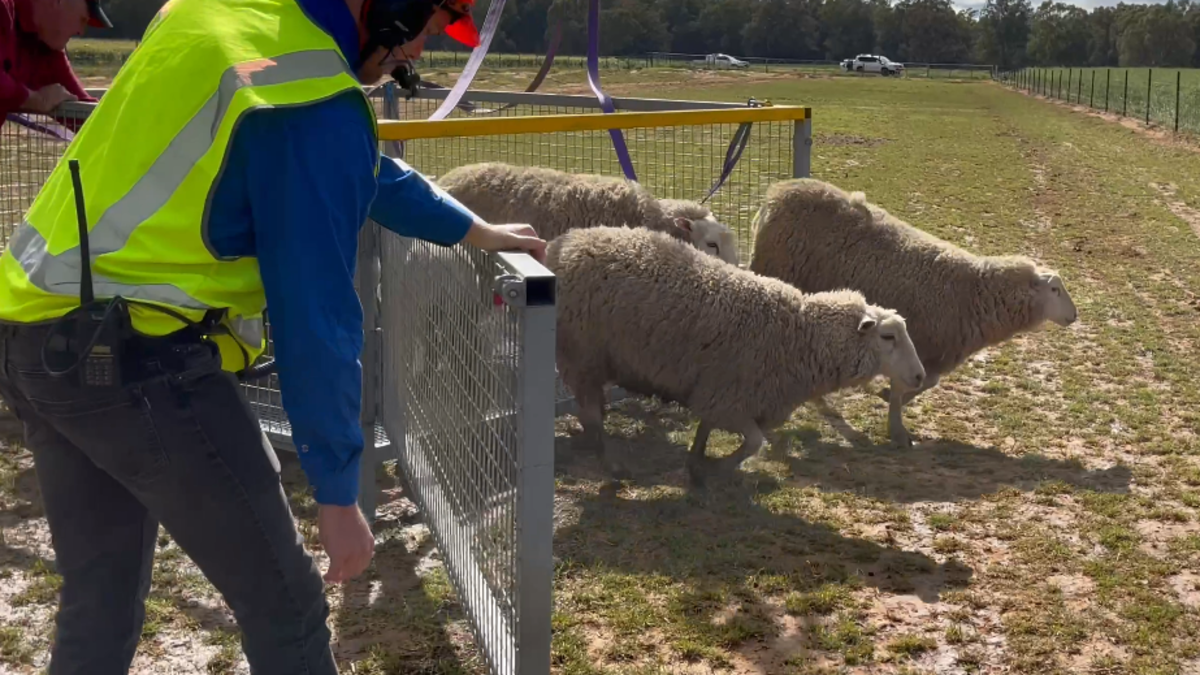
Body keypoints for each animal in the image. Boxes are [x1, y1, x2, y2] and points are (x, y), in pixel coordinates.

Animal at [544, 225, 926, 486]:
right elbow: (755, 442)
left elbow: (707, 429)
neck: (799, 335)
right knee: (590, 414)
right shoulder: (733, 397)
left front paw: (697, 462)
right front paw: (718, 468)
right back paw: (611, 465)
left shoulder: (723, 393)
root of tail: (564, 244)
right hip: (582, 356)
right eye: (888, 336)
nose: (920, 376)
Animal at [748, 178, 1079, 447]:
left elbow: (926, 382)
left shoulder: (931, 349)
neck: (972, 292)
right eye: (1055, 289)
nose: (1074, 316)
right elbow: (905, 385)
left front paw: (892, 405)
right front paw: (897, 429)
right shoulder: (911, 338)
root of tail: (776, 194)